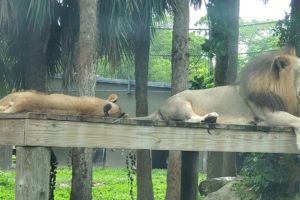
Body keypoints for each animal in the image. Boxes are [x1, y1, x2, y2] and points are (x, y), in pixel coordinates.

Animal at [137, 47, 300, 149]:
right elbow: (296, 120)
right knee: (191, 119)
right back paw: (210, 117)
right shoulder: (266, 114)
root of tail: (160, 106)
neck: (287, 91)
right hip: (182, 103)